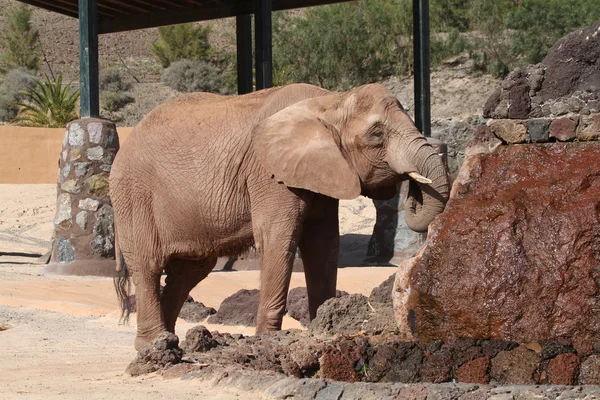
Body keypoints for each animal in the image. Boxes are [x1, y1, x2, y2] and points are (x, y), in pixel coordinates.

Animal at [111, 83, 450, 348]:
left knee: (189, 270)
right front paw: (268, 340)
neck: (331, 100)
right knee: (148, 266)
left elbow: (324, 246)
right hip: (134, 196)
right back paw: (153, 347)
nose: (413, 187)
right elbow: (280, 239)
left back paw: (170, 344)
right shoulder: (269, 174)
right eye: (376, 134)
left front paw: (324, 327)